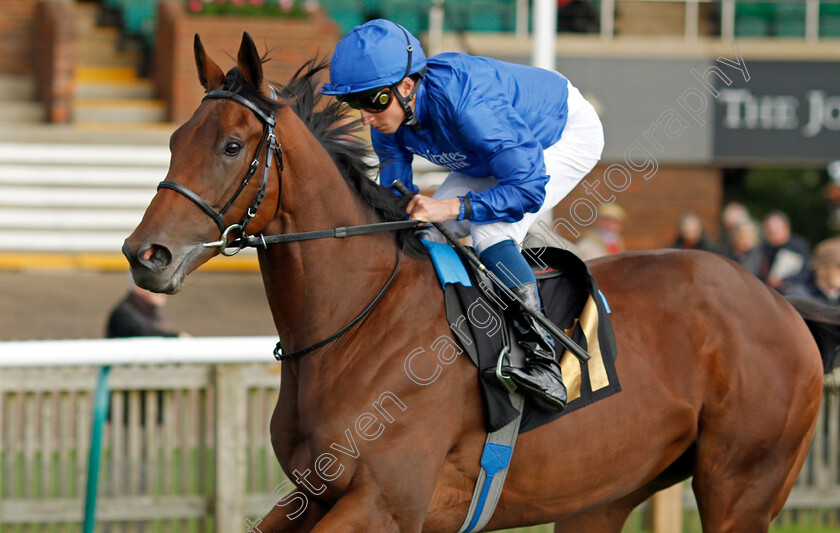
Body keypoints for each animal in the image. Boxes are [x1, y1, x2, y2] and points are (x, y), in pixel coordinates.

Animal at [121, 32, 836, 528]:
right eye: (175, 139)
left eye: (231, 146)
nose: (144, 254)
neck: (357, 322)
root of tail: (777, 303)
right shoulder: (312, 495)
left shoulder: (384, 504)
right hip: (603, 494)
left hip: (741, 488)